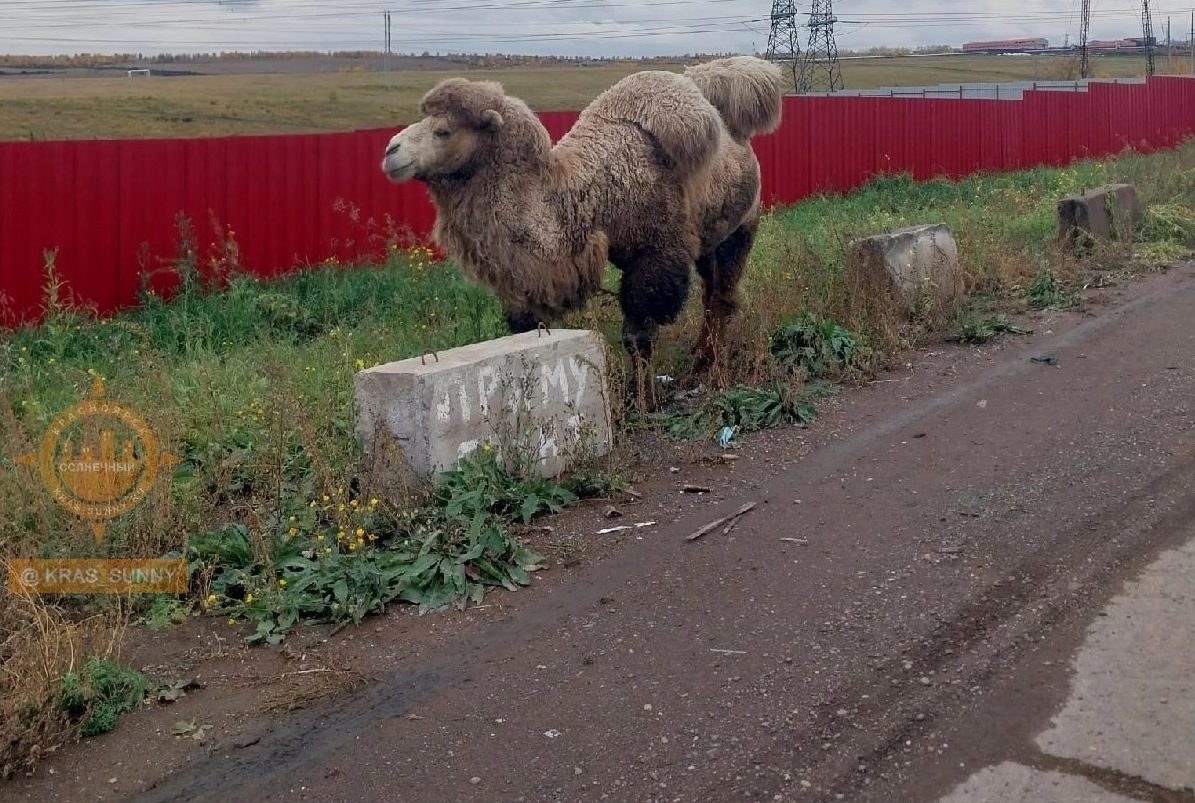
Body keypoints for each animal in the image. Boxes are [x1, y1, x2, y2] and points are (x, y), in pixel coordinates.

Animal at [377, 54, 779, 375]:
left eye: (444, 130)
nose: (390, 151)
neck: (582, 198)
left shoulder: (656, 254)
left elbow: (638, 337)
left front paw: (643, 402)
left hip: (743, 227)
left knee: (723, 295)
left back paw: (709, 365)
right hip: (709, 237)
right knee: (712, 291)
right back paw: (701, 356)